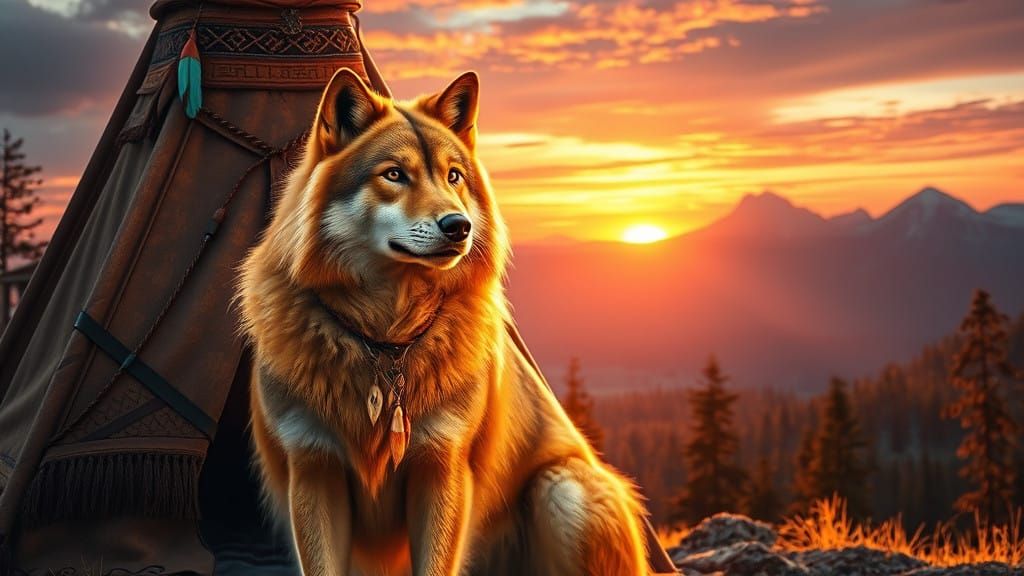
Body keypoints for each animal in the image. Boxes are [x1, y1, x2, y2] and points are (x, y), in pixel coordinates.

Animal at [237, 67, 652, 576]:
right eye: (395, 174)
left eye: (454, 176)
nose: (459, 226)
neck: (386, 342)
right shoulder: (314, 469)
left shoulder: (442, 466)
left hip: (564, 492)